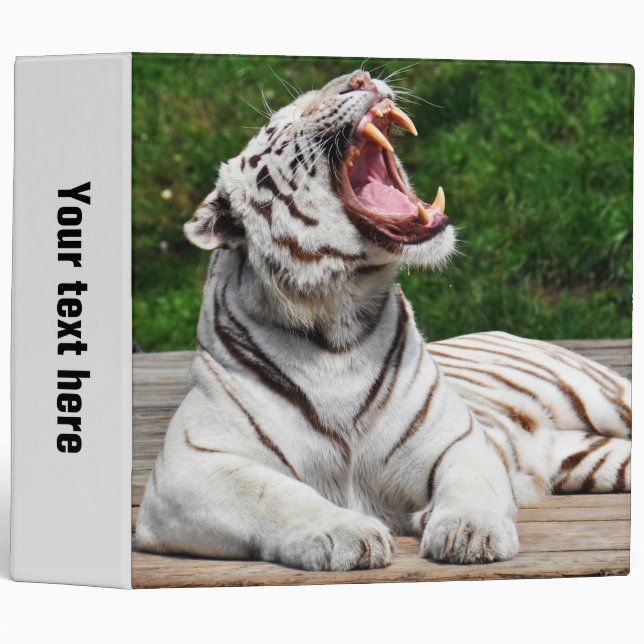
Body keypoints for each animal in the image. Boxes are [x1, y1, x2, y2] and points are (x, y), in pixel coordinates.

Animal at [135, 70, 632, 570]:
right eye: (284, 122)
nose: (361, 77)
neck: (336, 320)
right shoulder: (189, 465)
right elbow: (273, 494)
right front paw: (344, 534)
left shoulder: (458, 439)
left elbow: (469, 484)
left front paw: (471, 532)